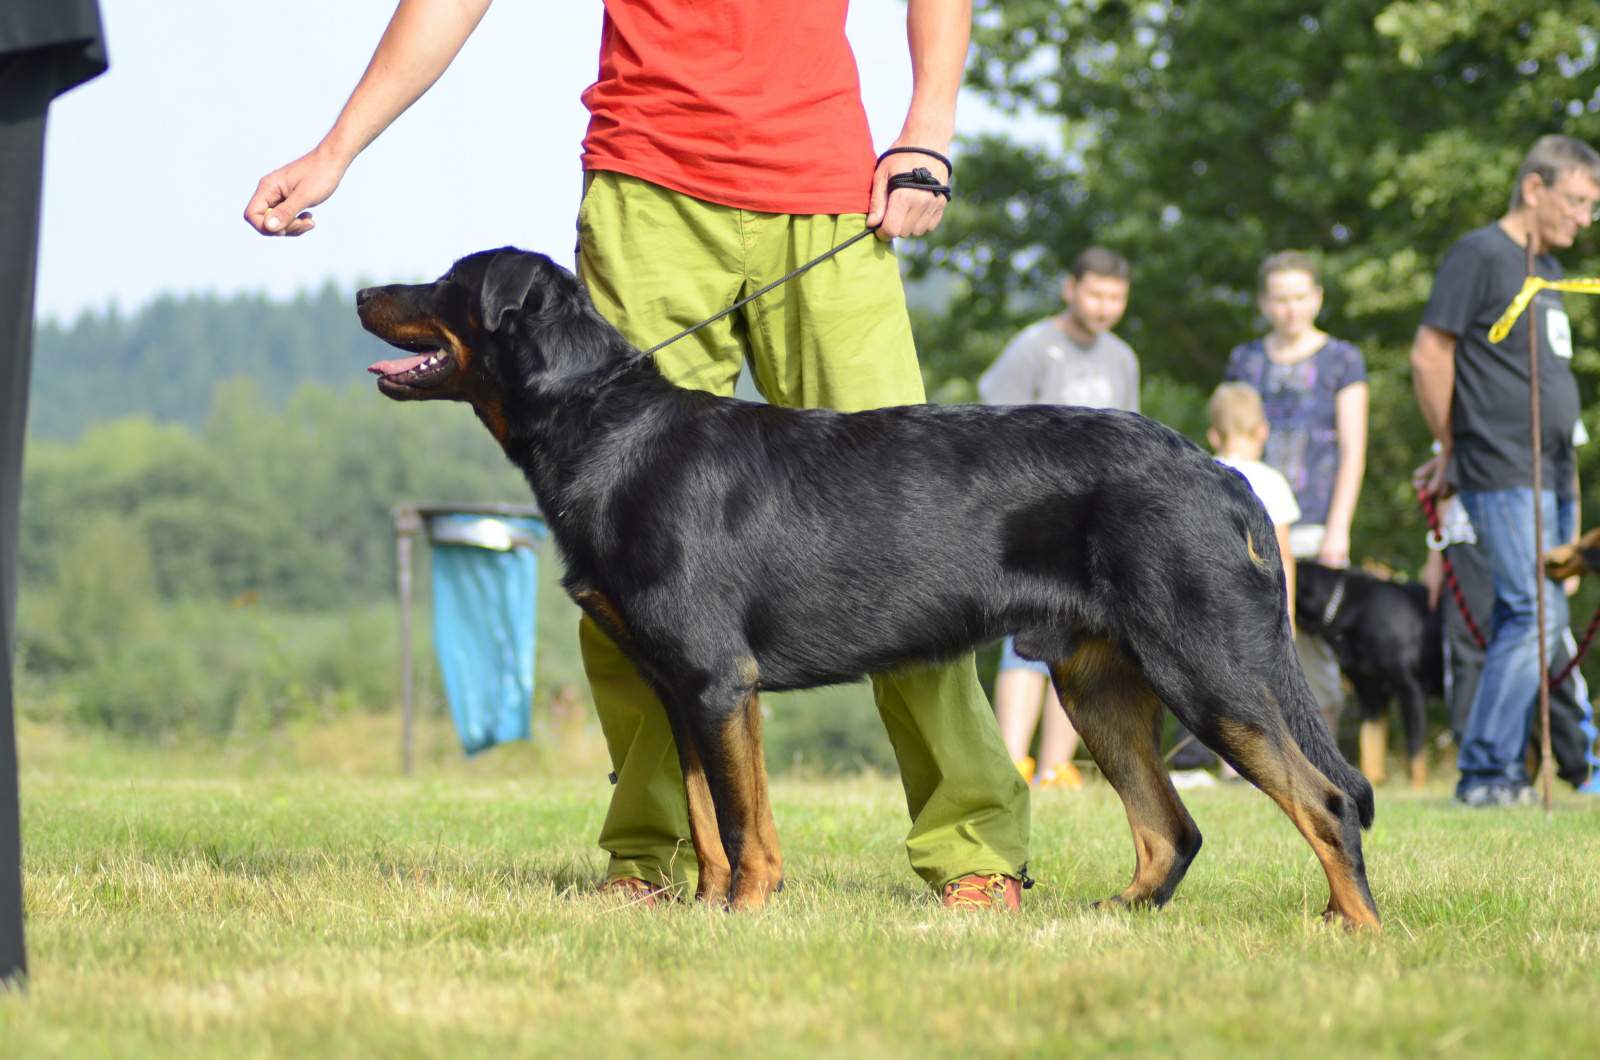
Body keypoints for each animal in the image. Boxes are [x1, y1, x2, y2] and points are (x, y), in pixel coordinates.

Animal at [356, 249, 1382, 928]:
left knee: (1324, 801)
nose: (363, 288)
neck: (606, 428)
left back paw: (1355, 932)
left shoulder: (718, 680)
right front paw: (704, 914)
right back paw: (1106, 922)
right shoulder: (679, 684)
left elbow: (743, 819)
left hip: (1208, 668)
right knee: (1171, 830)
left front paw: (745, 913)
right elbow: (704, 816)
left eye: (447, 283)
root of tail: (1220, 473)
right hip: (1098, 684)